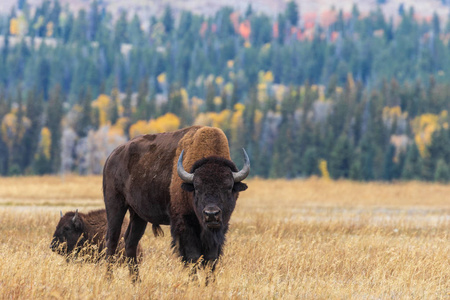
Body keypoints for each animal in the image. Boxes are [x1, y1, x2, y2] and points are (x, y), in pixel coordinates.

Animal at [103, 125, 250, 278]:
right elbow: (193, 257)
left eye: (228, 187)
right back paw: (109, 278)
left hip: (138, 215)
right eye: (197, 188)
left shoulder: (220, 228)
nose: (211, 214)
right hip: (115, 205)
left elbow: (211, 259)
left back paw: (136, 280)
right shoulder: (184, 225)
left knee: (130, 241)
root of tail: (112, 156)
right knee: (112, 240)